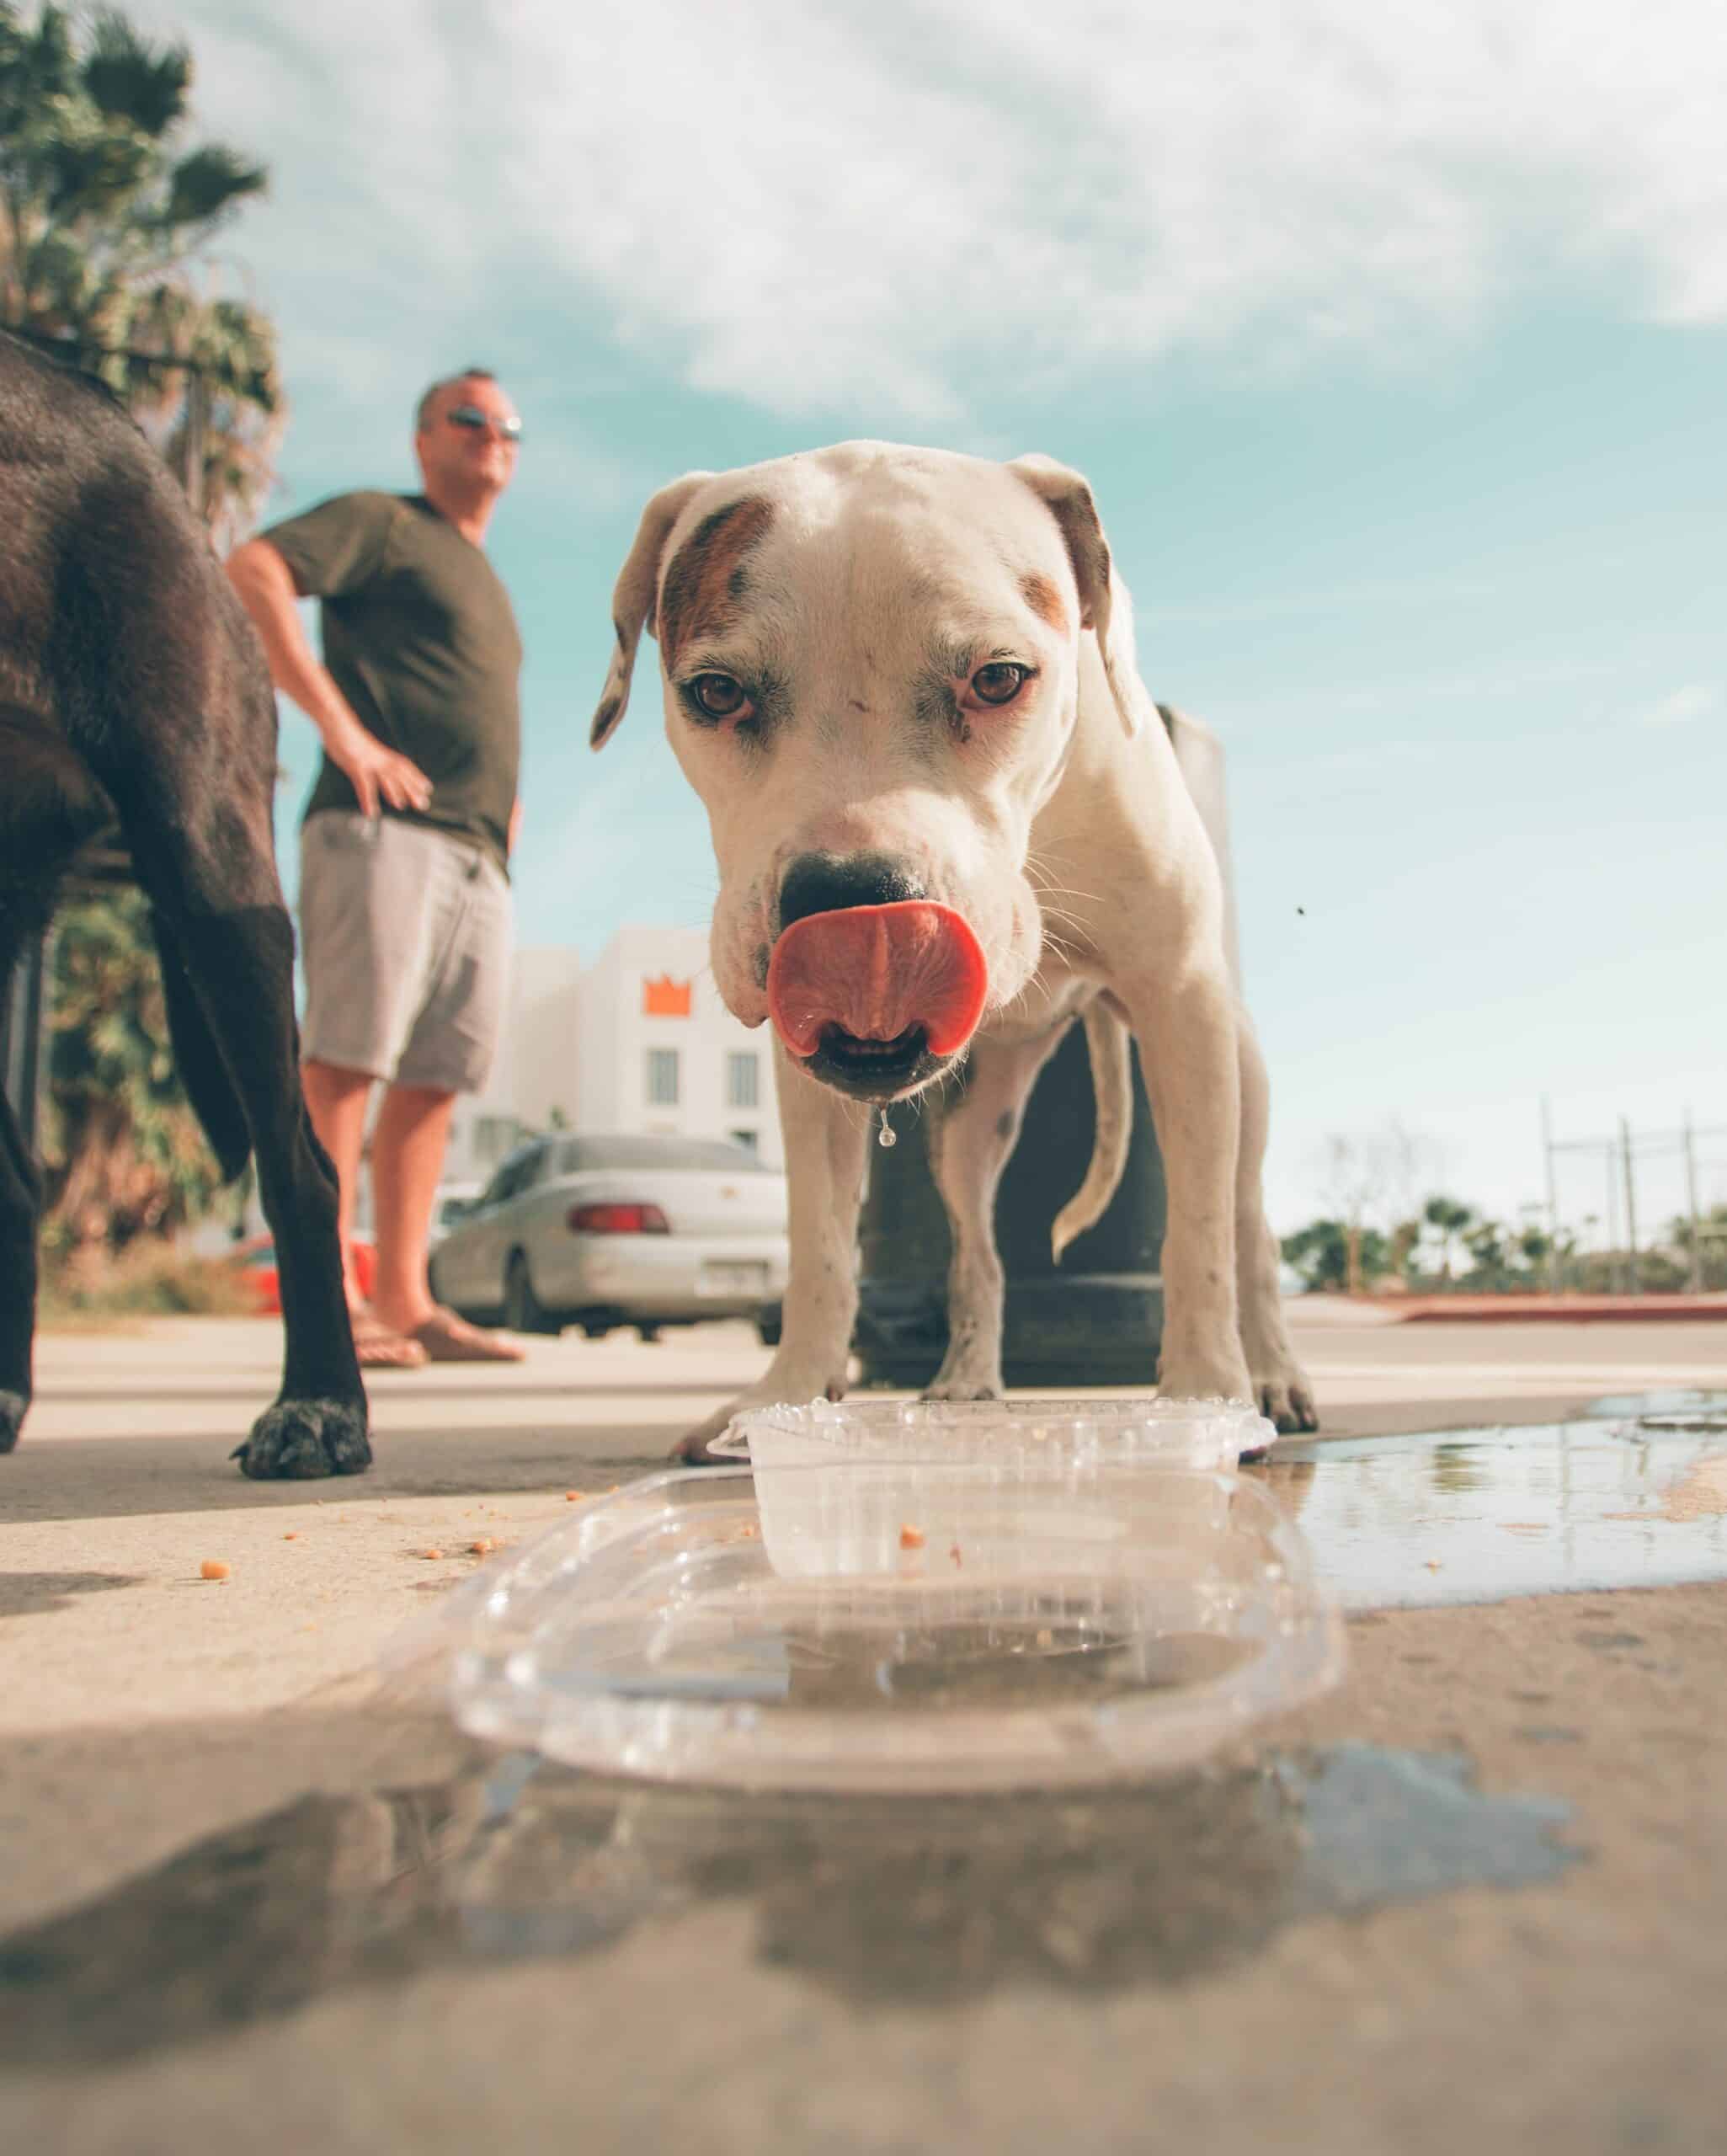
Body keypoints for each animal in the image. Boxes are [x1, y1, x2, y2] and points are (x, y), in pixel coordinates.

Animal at [586, 451, 1310, 1465]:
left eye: (999, 679)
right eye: (716, 692)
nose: (857, 902)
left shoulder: (1181, 1005)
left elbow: (1196, 1237)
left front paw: (1206, 1397)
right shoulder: (807, 1085)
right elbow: (817, 1247)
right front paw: (785, 1399)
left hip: (1234, 1072)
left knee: (1247, 1228)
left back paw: (1274, 1374)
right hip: (970, 1129)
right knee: (978, 1252)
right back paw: (967, 1379)